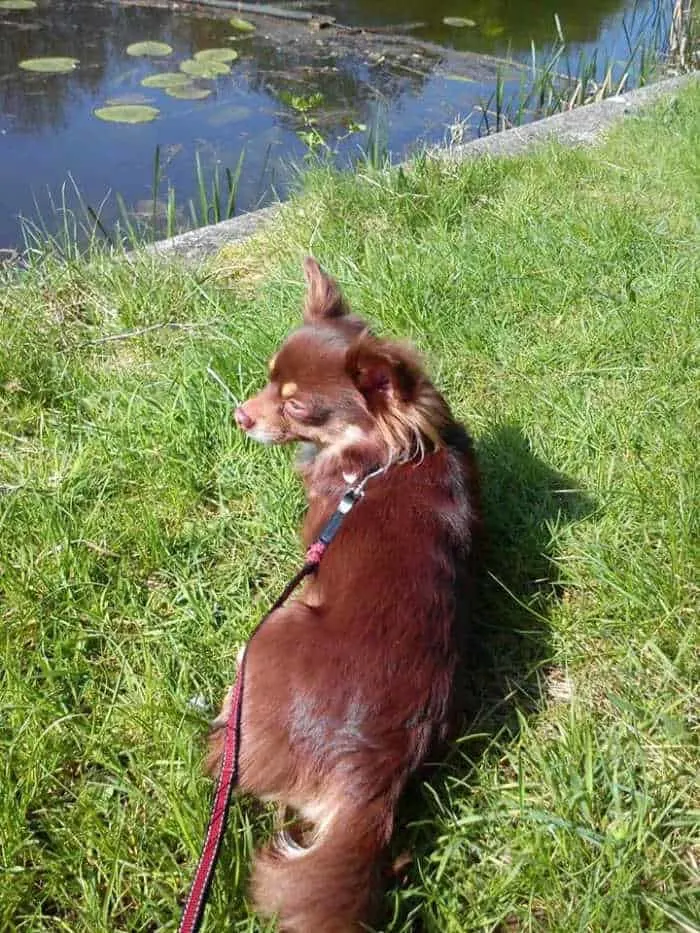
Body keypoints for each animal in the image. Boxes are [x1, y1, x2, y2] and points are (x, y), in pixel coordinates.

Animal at [208, 256, 482, 932]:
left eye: (299, 407)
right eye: (267, 380)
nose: (240, 416)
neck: (383, 456)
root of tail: (368, 781)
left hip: (274, 627)